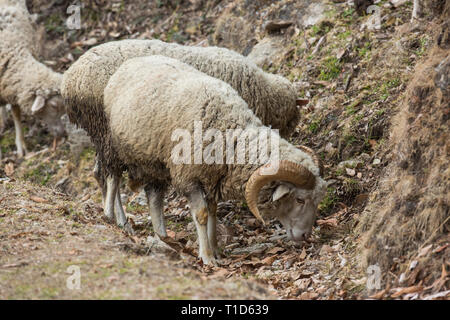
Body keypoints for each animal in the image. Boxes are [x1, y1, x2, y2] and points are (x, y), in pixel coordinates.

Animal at [61, 38, 310, 229]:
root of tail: (69, 80)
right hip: (105, 130)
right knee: (111, 173)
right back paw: (118, 218)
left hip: (102, 134)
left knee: (98, 172)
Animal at [102, 55, 326, 264]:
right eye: (299, 199)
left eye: (317, 200)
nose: (305, 236)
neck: (231, 135)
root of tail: (130, 62)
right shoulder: (190, 177)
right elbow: (201, 214)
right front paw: (207, 256)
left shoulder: (213, 178)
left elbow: (212, 211)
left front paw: (216, 249)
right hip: (112, 145)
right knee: (113, 177)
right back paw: (111, 217)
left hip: (155, 162)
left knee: (154, 198)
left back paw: (163, 238)